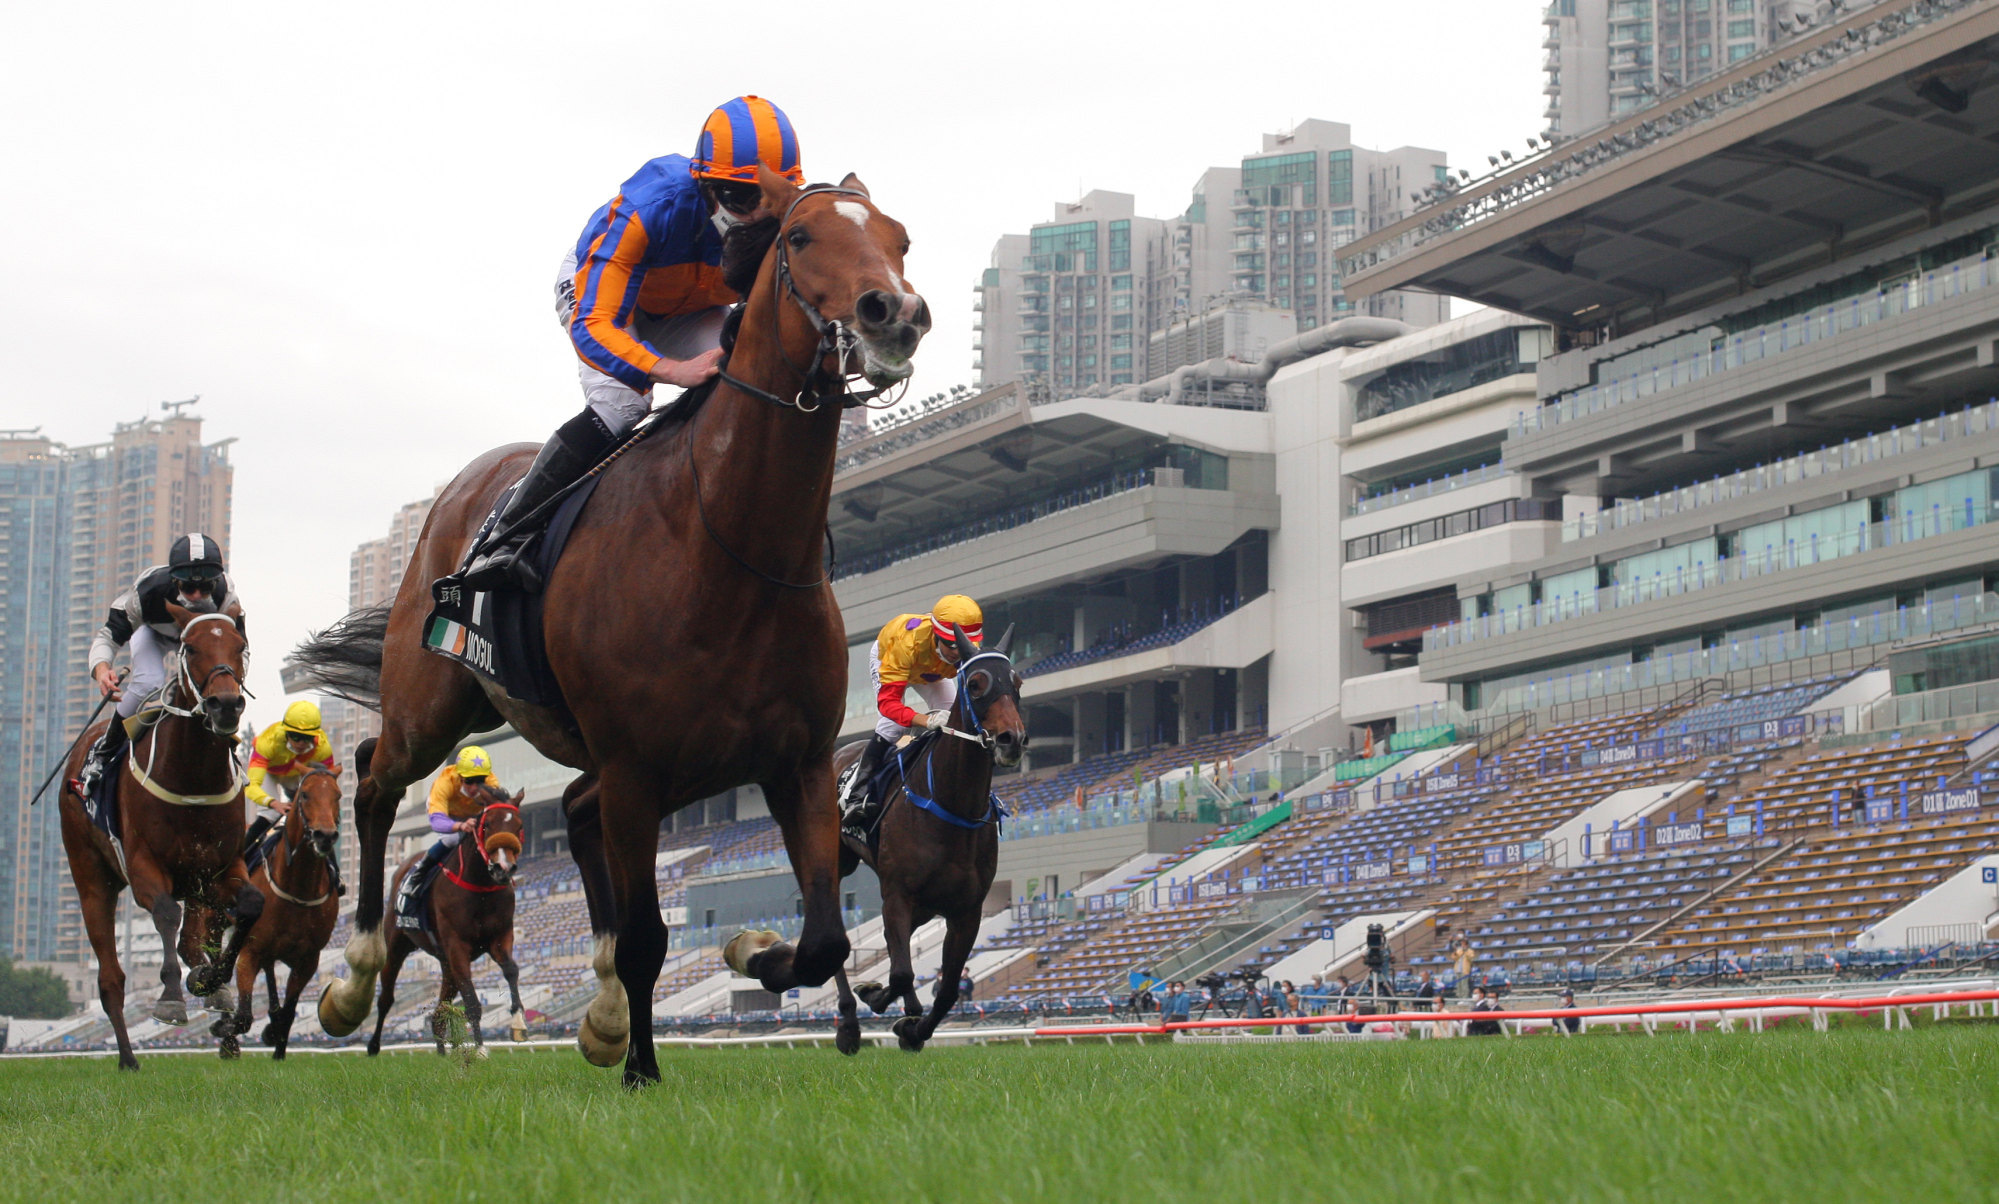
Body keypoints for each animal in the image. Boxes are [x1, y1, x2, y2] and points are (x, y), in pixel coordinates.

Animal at [57, 604, 253, 1064]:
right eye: (191, 647)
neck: (193, 776)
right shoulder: (145, 865)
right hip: (92, 880)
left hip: (195, 885)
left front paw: (211, 981)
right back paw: (128, 1059)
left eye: (239, 645)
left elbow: (249, 906)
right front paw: (170, 998)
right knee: (110, 978)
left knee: (191, 941)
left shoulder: (219, 868)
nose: (226, 704)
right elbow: (165, 914)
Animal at [215, 764, 339, 1056]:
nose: (325, 836)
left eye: (338, 796)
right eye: (305, 795)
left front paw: (277, 1045)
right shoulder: (251, 951)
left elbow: (288, 1014)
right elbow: (244, 1016)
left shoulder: (308, 959)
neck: (298, 887)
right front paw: (226, 1031)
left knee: (271, 978)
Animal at [365, 780, 527, 1048]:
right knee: (386, 998)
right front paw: (480, 1050)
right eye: (487, 825)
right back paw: (373, 1046)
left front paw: (518, 1021)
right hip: (396, 946)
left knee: (438, 1013)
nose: (503, 868)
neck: (480, 887)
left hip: (445, 963)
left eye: (519, 826)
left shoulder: (500, 936)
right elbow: (471, 1001)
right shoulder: (457, 945)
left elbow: (511, 969)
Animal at [827, 628, 1023, 1048]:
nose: (1011, 739)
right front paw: (891, 1012)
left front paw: (911, 1028)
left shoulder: (966, 911)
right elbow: (902, 973)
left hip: (925, 904)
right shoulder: (898, 893)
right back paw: (848, 1025)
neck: (953, 804)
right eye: (975, 683)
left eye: (1016, 682)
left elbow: (945, 989)